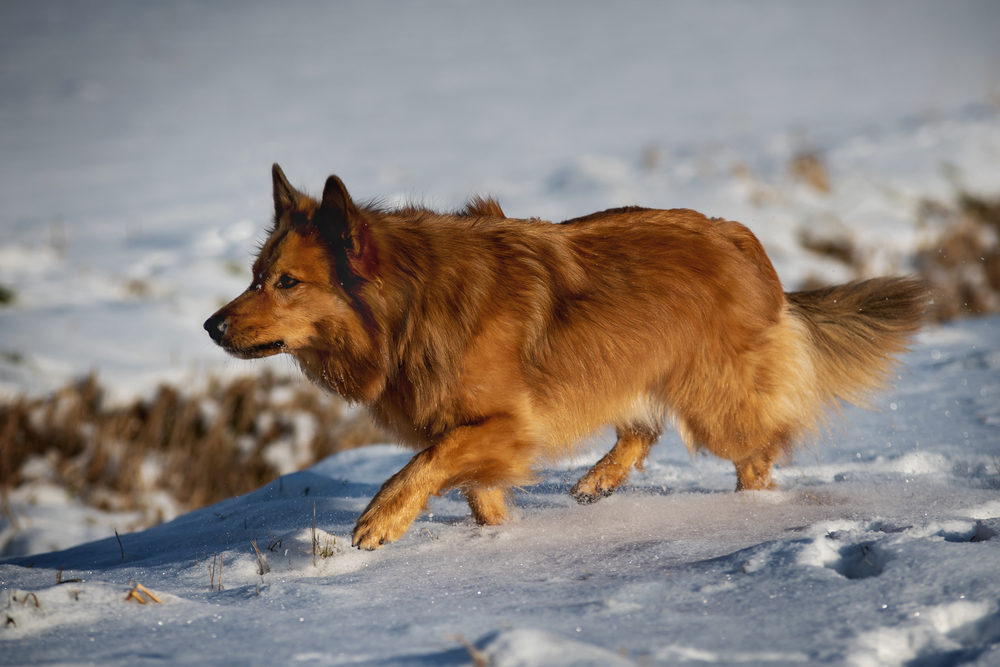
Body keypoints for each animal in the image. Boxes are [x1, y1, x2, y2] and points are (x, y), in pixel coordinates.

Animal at [205, 164, 926, 550]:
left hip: (715, 398)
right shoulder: (478, 432)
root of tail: (740, 238)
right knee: (644, 427)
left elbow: (419, 466)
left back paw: (749, 512)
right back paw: (601, 480)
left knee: (758, 450)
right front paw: (498, 539)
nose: (211, 326)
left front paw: (381, 521)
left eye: (287, 282)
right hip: (630, 368)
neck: (411, 301)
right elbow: (474, 489)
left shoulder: (505, 423)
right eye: (255, 276)